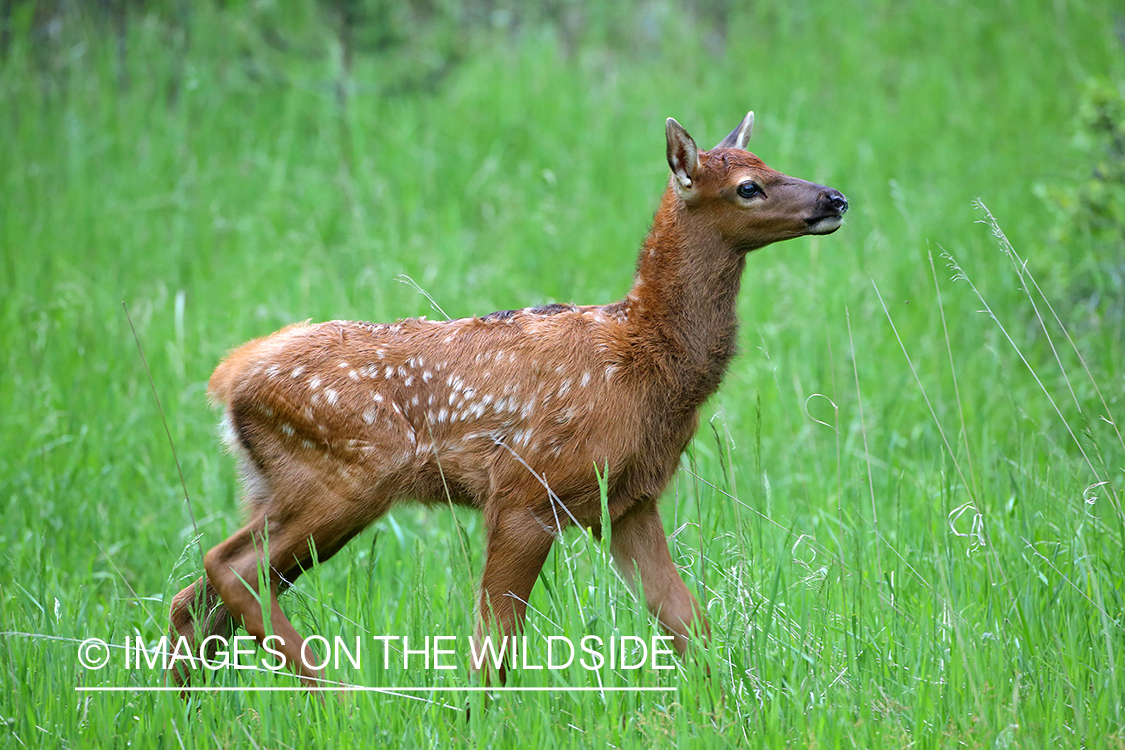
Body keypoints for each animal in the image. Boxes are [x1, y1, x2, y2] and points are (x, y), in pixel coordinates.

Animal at [168, 111, 846, 688]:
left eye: (768, 161)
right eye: (748, 187)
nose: (834, 199)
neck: (643, 360)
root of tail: (228, 378)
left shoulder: (628, 498)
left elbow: (690, 629)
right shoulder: (525, 490)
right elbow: (491, 650)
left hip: (276, 487)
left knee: (195, 599)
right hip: (345, 476)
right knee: (228, 569)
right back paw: (334, 691)